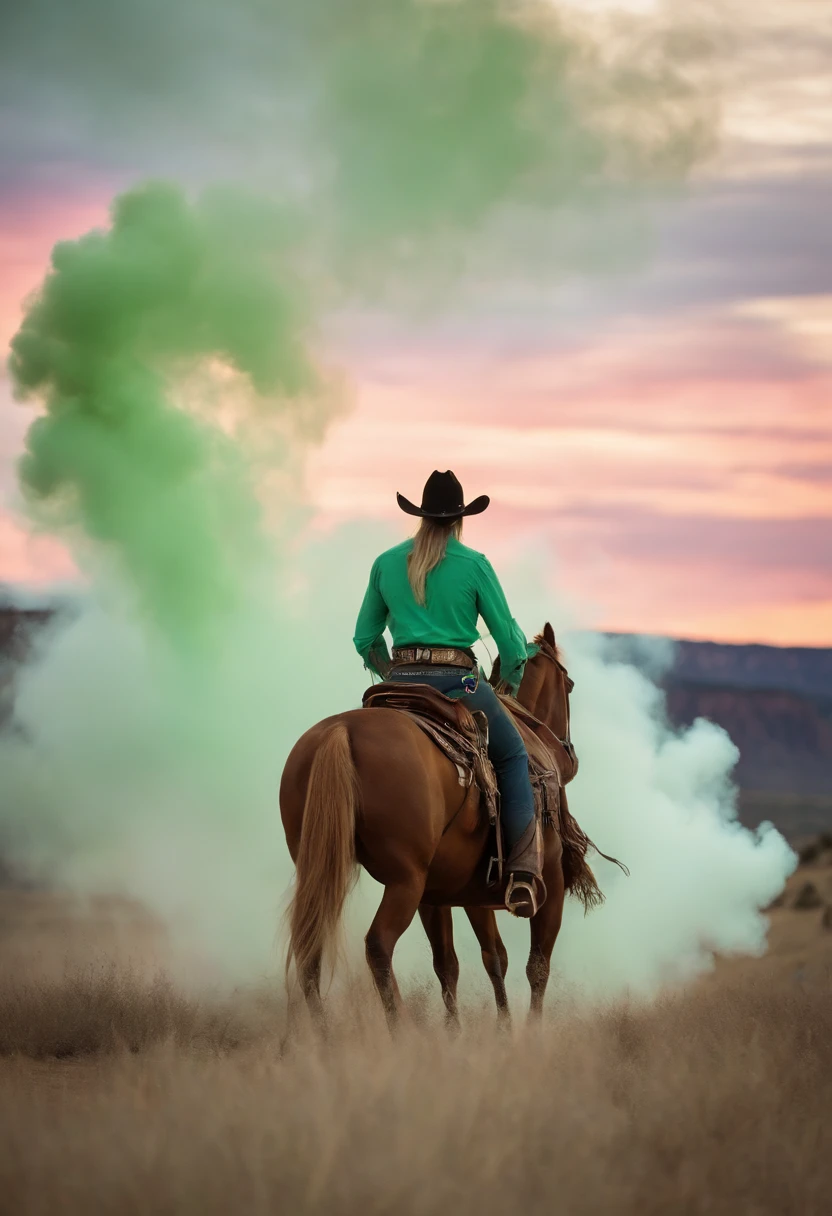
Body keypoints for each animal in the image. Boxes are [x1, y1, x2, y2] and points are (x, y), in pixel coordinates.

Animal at [282, 617, 593, 1026]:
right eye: (568, 685)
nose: (569, 756)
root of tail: (341, 731)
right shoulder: (551, 882)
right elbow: (536, 966)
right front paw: (528, 1032)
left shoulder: (454, 892)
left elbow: (472, 961)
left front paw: (480, 1031)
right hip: (405, 881)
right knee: (378, 945)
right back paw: (400, 1031)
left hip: (326, 869)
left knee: (310, 946)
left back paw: (324, 1036)